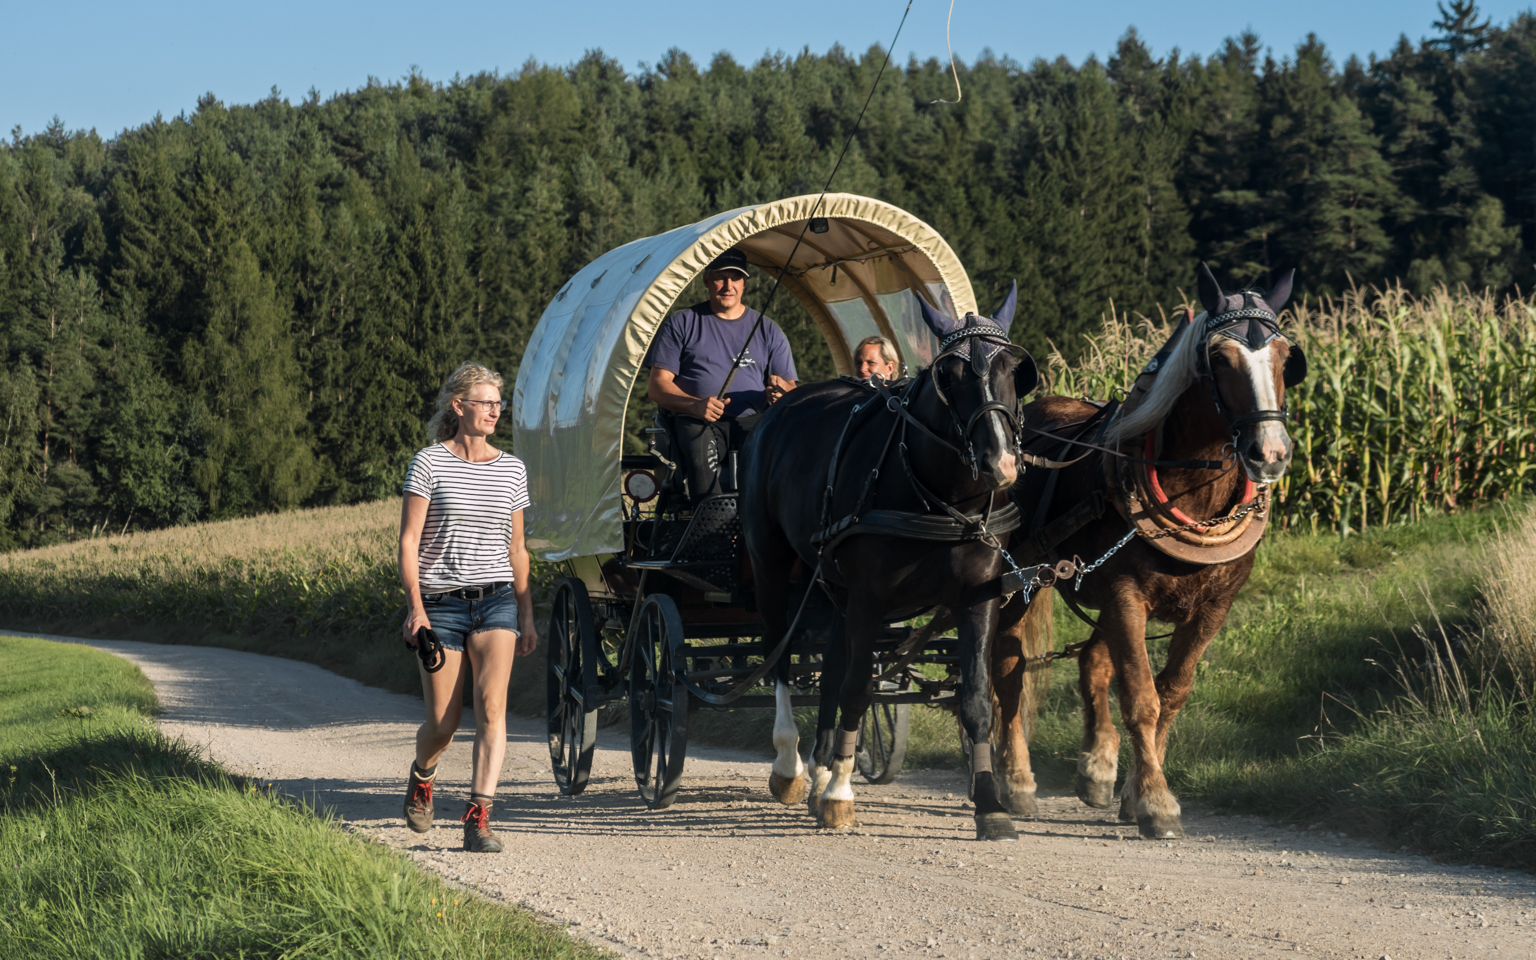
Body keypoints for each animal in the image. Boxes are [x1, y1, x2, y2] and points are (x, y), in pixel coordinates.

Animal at [740, 285, 1038, 835]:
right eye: (949, 375)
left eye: (1015, 368)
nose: (1000, 463)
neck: (943, 498)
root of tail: (779, 407)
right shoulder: (870, 598)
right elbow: (858, 690)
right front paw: (839, 792)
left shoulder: (979, 596)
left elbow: (975, 699)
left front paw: (990, 803)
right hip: (770, 565)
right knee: (780, 657)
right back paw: (791, 766)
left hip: (832, 587)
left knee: (832, 665)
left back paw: (818, 768)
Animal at [983, 264, 1308, 835]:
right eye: (1220, 360)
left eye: (1286, 356)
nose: (1269, 453)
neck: (1192, 491)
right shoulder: (1125, 594)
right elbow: (1141, 697)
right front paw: (1157, 801)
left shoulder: (1213, 606)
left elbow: (1171, 692)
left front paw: (1135, 790)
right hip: (1022, 581)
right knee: (1009, 668)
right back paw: (1017, 779)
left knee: (1092, 662)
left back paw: (1097, 766)